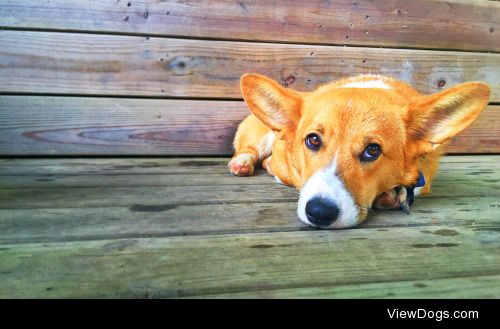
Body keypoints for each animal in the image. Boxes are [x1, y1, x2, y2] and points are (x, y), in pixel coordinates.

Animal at [229, 73, 490, 228]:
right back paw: (242, 163)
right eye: (313, 140)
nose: (319, 213)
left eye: (372, 150)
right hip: (260, 134)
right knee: (250, 150)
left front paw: (394, 193)